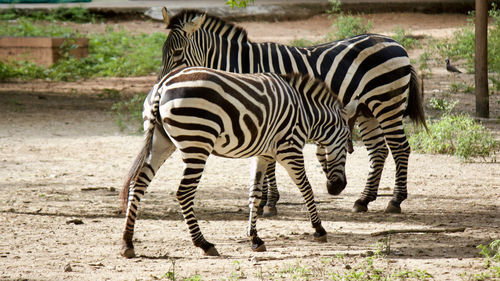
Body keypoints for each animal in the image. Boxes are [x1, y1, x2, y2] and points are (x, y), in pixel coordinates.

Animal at [120, 65, 356, 256]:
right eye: (347, 142)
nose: (338, 187)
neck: (306, 115)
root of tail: (164, 83)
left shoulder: (263, 154)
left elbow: (255, 195)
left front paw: (255, 239)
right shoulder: (289, 149)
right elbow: (306, 188)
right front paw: (319, 229)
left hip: (161, 141)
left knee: (138, 183)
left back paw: (127, 243)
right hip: (197, 143)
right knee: (183, 192)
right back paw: (204, 244)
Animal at [156, 8, 426, 214]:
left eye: (177, 53)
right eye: (162, 53)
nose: (161, 86)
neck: (241, 66)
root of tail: (396, 43)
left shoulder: (268, 111)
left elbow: (269, 162)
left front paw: (268, 202)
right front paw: (266, 200)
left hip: (387, 104)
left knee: (400, 148)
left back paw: (395, 201)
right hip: (367, 111)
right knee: (378, 150)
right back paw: (363, 200)